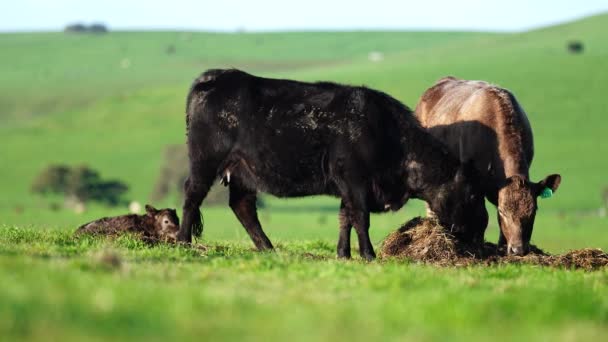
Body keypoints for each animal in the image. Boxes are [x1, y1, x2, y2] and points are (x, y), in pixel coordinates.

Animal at [177, 70, 490, 262]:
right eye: (473, 193)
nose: (480, 231)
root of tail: (214, 76)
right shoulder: (354, 179)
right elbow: (360, 217)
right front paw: (368, 254)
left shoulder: (347, 186)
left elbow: (344, 217)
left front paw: (343, 254)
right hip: (205, 161)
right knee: (193, 196)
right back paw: (182, 241)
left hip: (242, 171)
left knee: (242, 207)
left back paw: (268, 248)